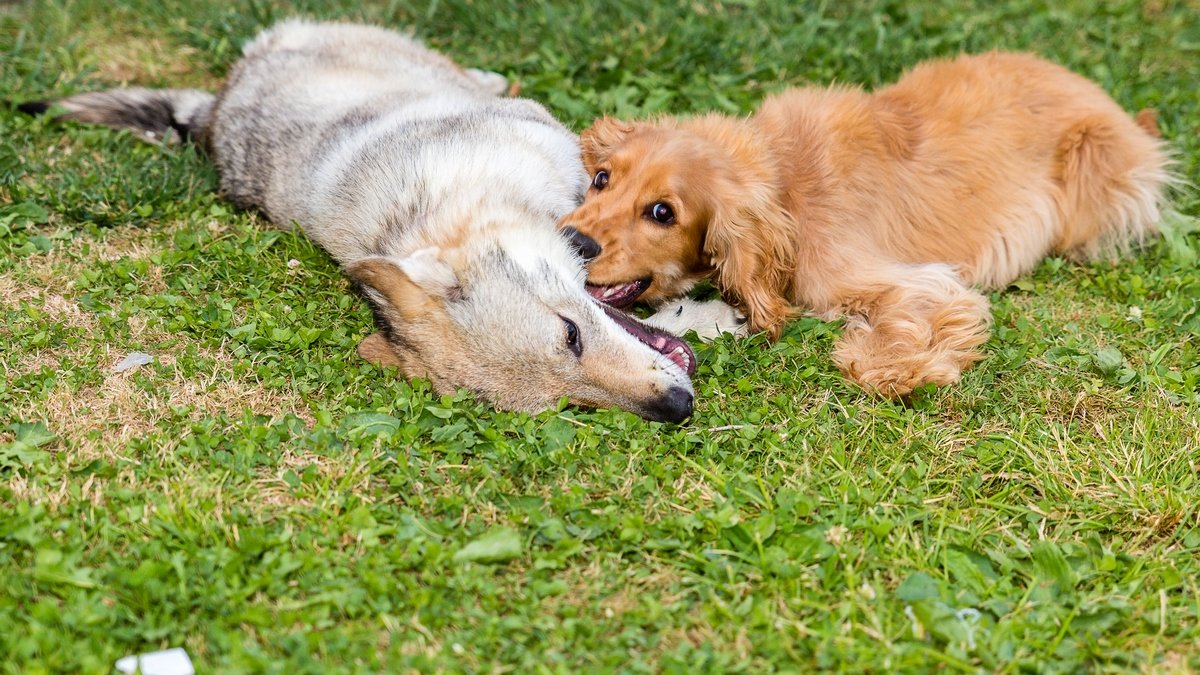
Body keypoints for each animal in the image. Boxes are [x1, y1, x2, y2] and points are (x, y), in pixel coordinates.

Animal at [561, 53, 1171, 398]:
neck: (787, 182)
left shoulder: (908, 280)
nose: (572, 239)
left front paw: (898, 367)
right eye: (602, 178)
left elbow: (884, 339)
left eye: (662, 212)